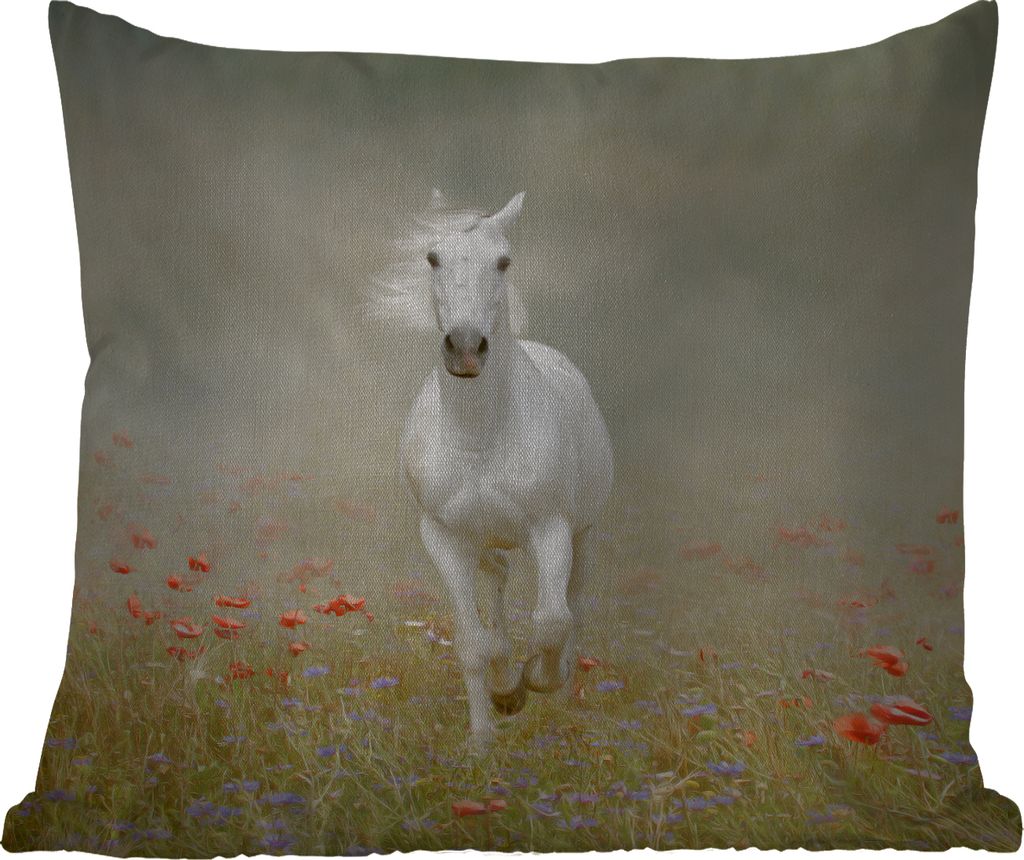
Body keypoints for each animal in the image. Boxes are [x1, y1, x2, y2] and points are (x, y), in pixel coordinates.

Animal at [384, 191, 613, 748]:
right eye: (433, 258)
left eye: (503, 262)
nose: (466, 348)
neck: (480, 437)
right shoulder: (443, 536)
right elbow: (471, 641)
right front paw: (486, 731)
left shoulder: (551, 528)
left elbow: (552, 620)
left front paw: (538, 681)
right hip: (483, 538)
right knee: (497, 580)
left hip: (584, 533)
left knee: (573, 604)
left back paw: (559, 686)